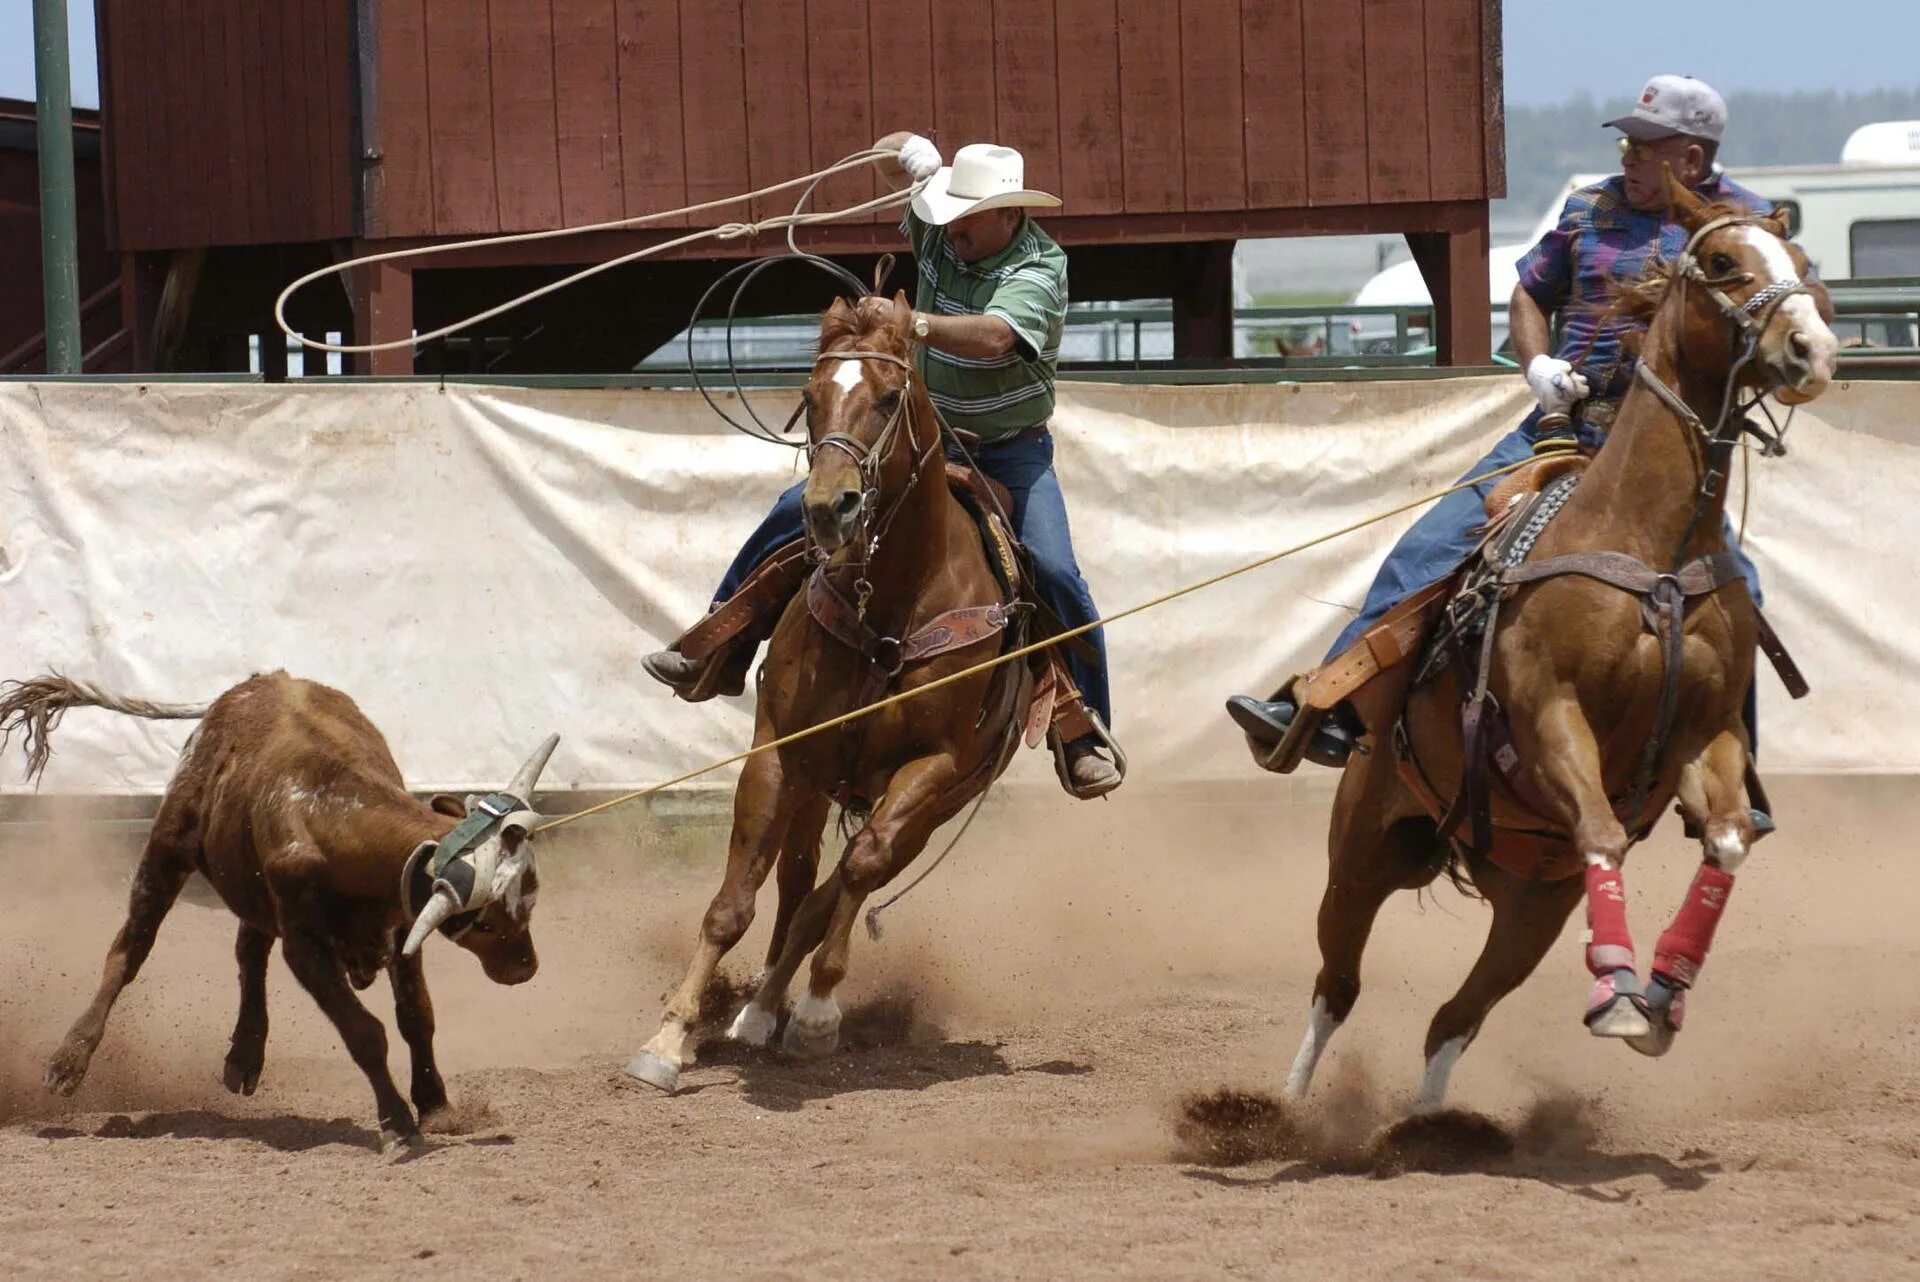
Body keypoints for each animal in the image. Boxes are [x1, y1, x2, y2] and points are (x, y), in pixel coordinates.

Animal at [629, 293, 1029, 1090]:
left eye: (889, 397)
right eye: (810, 398)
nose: (828, 508)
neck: (892, 603)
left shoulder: (934, 767)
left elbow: (858, 873)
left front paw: (815, 1014)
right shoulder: (781, 753)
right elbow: (734, 903)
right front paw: (669, 1037)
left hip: (941, 804)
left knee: (842, 881)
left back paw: (784, 1007)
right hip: (818, 784)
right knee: (798, 879)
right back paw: (756, 1010)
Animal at [1282, 172, 1835, 1113]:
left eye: (1800, 258)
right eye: (1725, 263)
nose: (1814, 351)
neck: (1651, 549)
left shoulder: (1706, 734)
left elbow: (1726, 837)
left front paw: (1660, 994)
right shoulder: (1550, 712)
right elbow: (1605, 830)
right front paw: (1619, 993)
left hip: (1534, 901)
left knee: (1455, 1016)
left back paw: (1429, 1125)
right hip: (1363, 847)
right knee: (1334, 986)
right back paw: (1284, 1107)